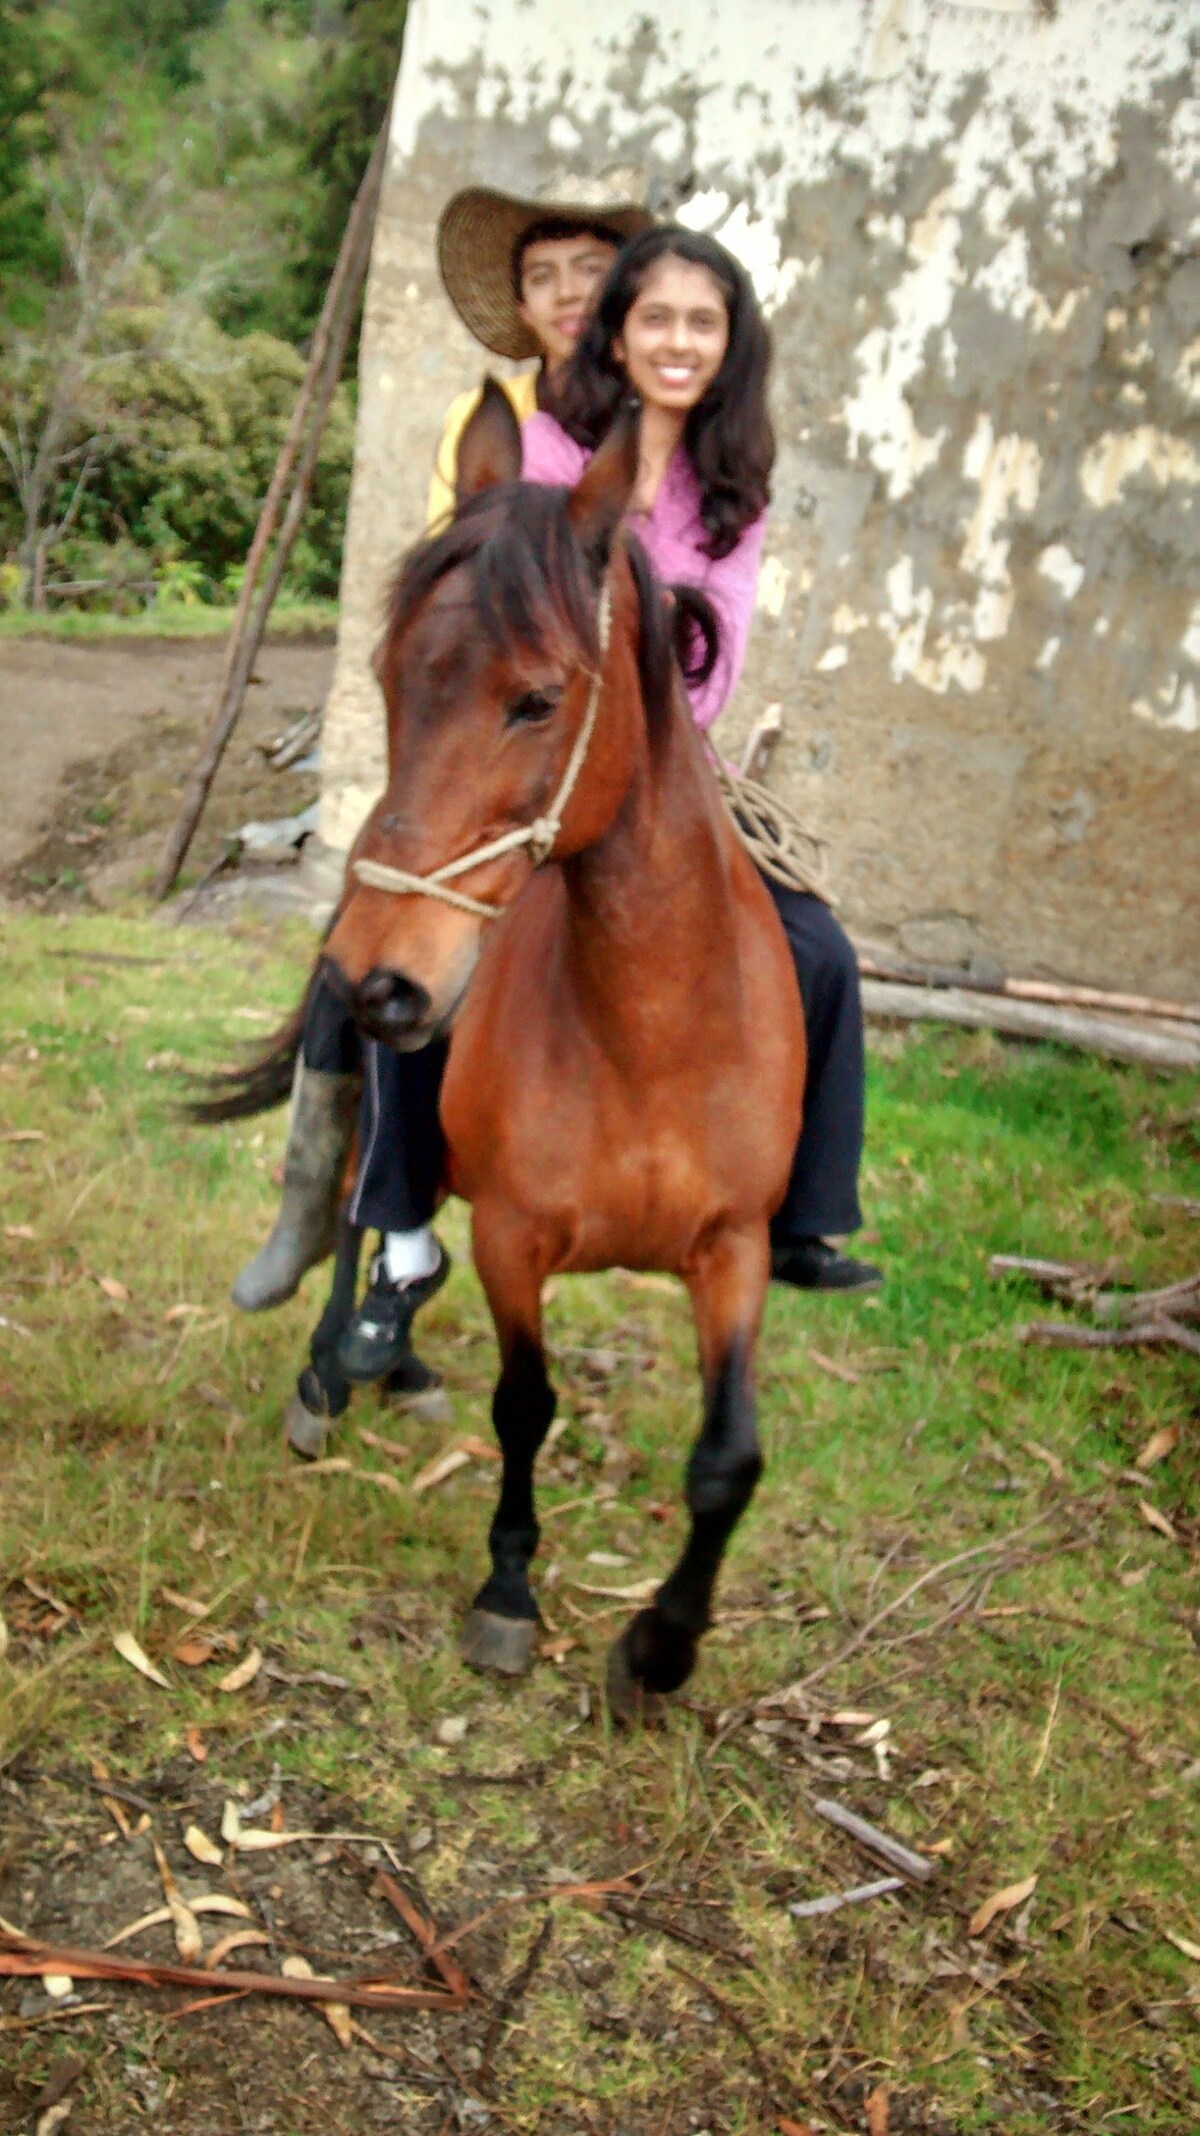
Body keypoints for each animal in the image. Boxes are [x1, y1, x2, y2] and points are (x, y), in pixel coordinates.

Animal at [227, 384, 798, 1717]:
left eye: (535, 699)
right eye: (389, 678)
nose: (371, 976)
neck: (650, 1035)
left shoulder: (735, 1247)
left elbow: (729, 1460)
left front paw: (661, 1648)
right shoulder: (515, 1237)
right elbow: (526, 1403)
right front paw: (507, 1591)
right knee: (352, 1206)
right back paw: (335, 1373)